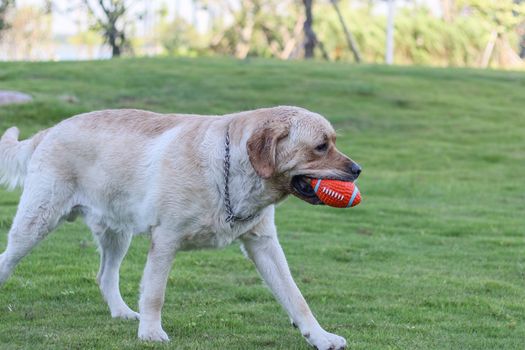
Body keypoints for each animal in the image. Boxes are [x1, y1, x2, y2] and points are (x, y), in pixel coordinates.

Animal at [0, 106, 360, 350]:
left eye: (332, 141)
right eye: (321, 146)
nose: (358, 169)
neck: (229, 171)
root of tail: (51, 129)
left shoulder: (264, 244)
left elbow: (295, 296)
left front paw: (320, 336)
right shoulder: (166, 239)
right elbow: (155, 293)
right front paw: (150, 333)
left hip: (117, 232)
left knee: (105, 276)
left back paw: (121, 312)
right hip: (36, 222)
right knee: (6, 259)